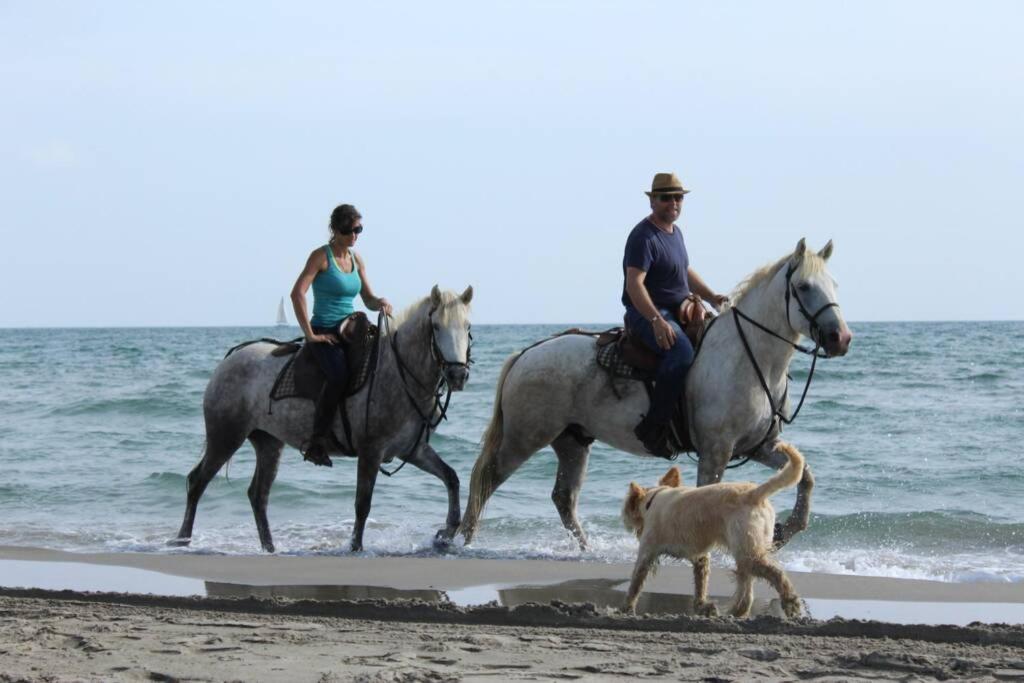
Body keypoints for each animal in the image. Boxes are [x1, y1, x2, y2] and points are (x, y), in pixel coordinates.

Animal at [173, 286, 475, 552]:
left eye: (468, 326)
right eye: (436, 327)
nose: (457, 375)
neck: (399, 372)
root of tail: (227, 361)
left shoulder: (413, 450)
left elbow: (451, 478)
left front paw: (447, 533)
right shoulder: (371, 451)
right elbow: (362, 504)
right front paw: (355, 547)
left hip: (268, 443)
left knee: (258, 495)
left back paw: (269, 548)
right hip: (225, 437)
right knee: (197, 482)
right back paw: (182, 541)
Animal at [462, 240, 847, 548]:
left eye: (834, 284)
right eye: (804, 286)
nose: (840, 338)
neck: (748, 357)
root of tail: (526, 354)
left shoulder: (759, 446)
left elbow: (806, 476)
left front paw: (787, 530)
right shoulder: (716, 451)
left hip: (572, 442)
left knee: (563, 498)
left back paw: (586, 550)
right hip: (524, 438)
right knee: (486, 479)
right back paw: (460, 539)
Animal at [618, 444, 802, 618]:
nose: (626, 521)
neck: (653, 499)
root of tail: (754, 492)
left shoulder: (646, 553)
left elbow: (635, 583)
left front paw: (625, 608)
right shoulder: (700, 557)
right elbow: (701, 584)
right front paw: (703, 607)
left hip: (748, 552)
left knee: (775, 573)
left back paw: (790, 602)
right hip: (746, 551)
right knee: (746, 583)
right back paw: (737, 611)